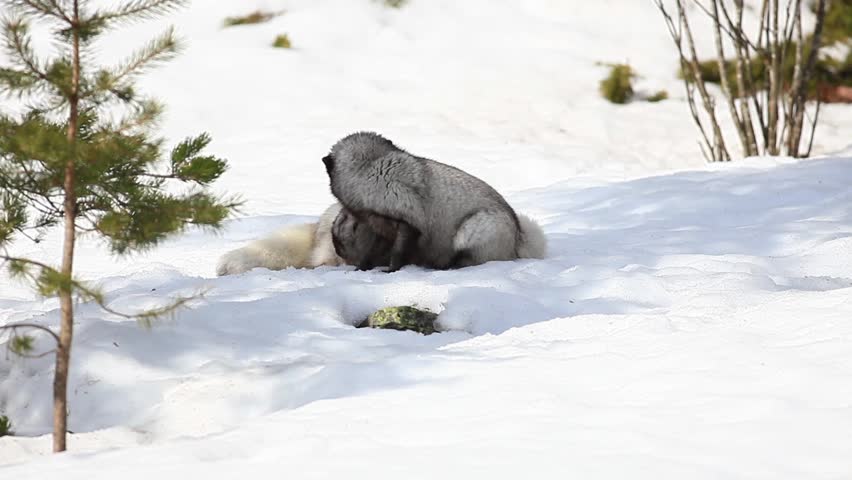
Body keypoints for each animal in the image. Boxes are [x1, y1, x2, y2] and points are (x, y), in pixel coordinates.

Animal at [322, 131, 547, 271]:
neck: (370, 168)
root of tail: (520, 238)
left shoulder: (407, 223)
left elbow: (397, 252)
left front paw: (390, 271)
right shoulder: (380, 226)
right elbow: (370, 253)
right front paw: (362, 269)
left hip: (471, 229)